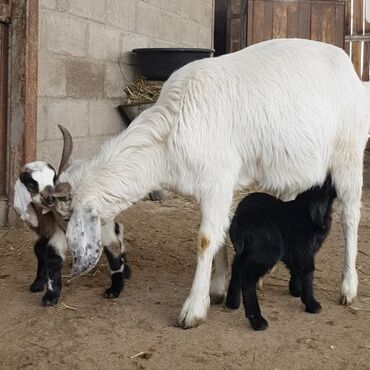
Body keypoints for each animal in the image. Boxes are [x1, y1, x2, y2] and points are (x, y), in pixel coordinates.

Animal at [57, 39, 370, 330]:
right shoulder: (211, 186)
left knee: (350, 216)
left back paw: (348, 288)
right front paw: (218, 288)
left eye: (66, 218)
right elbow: (219, 232)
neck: (168, 134)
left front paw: (194, 309)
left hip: (349, 154)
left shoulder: (219, 179)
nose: (70, 260)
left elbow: (206, 238)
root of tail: (353, 75)